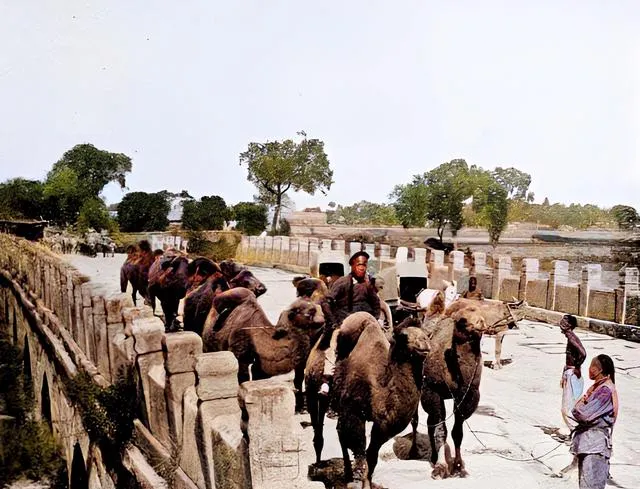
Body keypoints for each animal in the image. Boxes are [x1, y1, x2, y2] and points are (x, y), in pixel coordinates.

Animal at [330, 312, 431, 488]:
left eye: (424, 333)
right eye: (404, 336)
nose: (425, 343)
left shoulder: (383, 427)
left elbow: (372, 456)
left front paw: (368, 483)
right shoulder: (354, 412)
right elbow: (358, 448)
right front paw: (359, 479)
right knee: (341, 433)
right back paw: (348, 474)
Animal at [409, 306, 509, 480]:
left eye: (481, 316)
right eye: (461, 321)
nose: (479, 323)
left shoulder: (468, 396)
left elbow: (457, 432)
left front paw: (458, 466)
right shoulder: (432, 391)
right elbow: (441, 430)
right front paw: (441, 467)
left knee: (429, 422)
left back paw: (433, 456)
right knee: (418, 420)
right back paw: (416, 452)